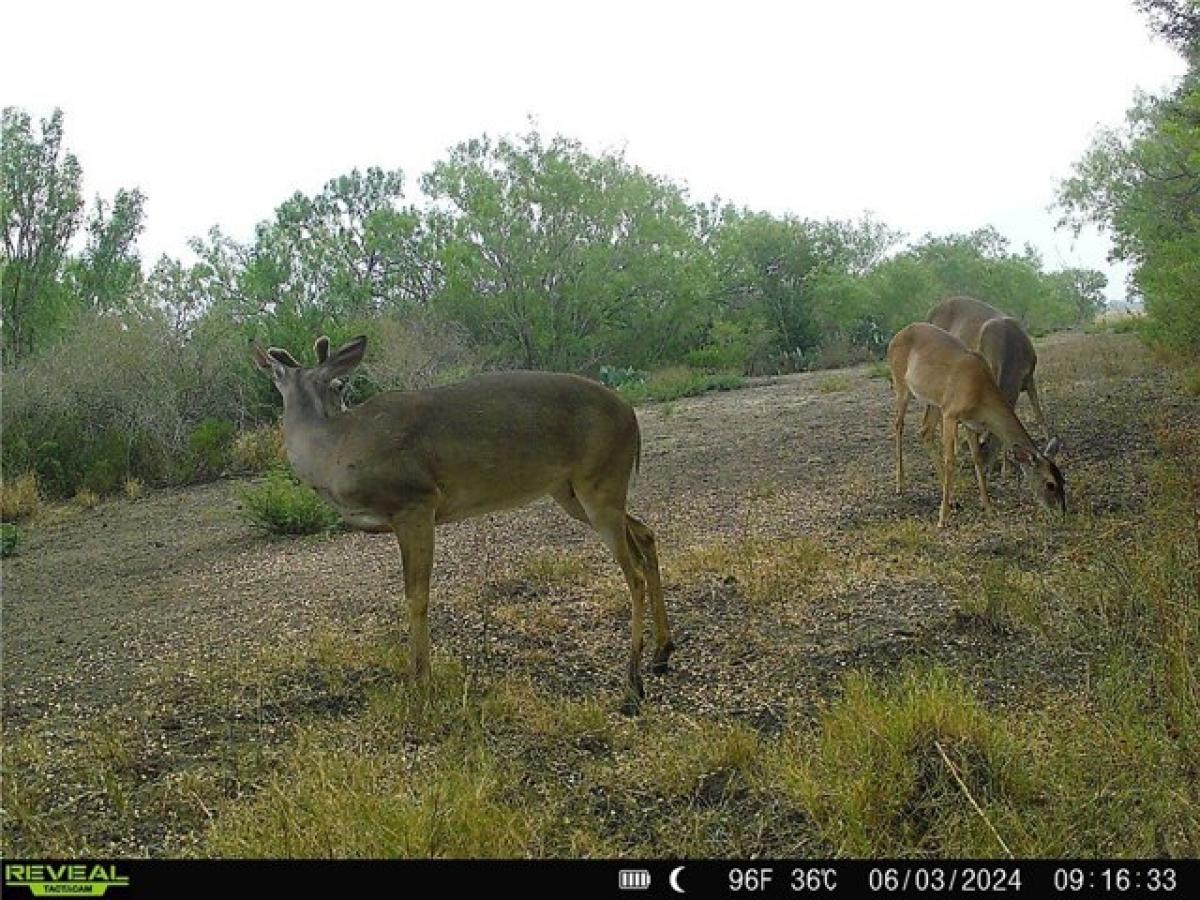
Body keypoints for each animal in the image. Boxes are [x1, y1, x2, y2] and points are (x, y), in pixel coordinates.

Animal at [250, 336, 676, 715]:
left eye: (339, 386)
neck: (336, 449)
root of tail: (631, 414)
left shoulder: (416, 502)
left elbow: (417, 596)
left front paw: (421, 679)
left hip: (599, 481)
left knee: (634, 574)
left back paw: (632, 688)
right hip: (573, 491)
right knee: (646, 534)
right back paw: (662, 653)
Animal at [888, 324, 1065, 528]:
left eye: (1063, 479)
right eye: (1050, 484)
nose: (1062, 512)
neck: (980, 392)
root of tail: (896, 336)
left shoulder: (969, 423)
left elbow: (977, 459)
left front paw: (989, 508)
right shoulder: (951, 414)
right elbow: (950, 460)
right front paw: (942, 519)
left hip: (934, 402)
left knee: (925, 431)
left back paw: (953, 499)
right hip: (902, 386)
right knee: (898, 424)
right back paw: (900, 485)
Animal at [921, 296, 1056, 472]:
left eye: (986, 449)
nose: (985, 469)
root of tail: (928, 314)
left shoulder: (1029, 376)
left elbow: (1039, 415)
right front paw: (1006, 467)